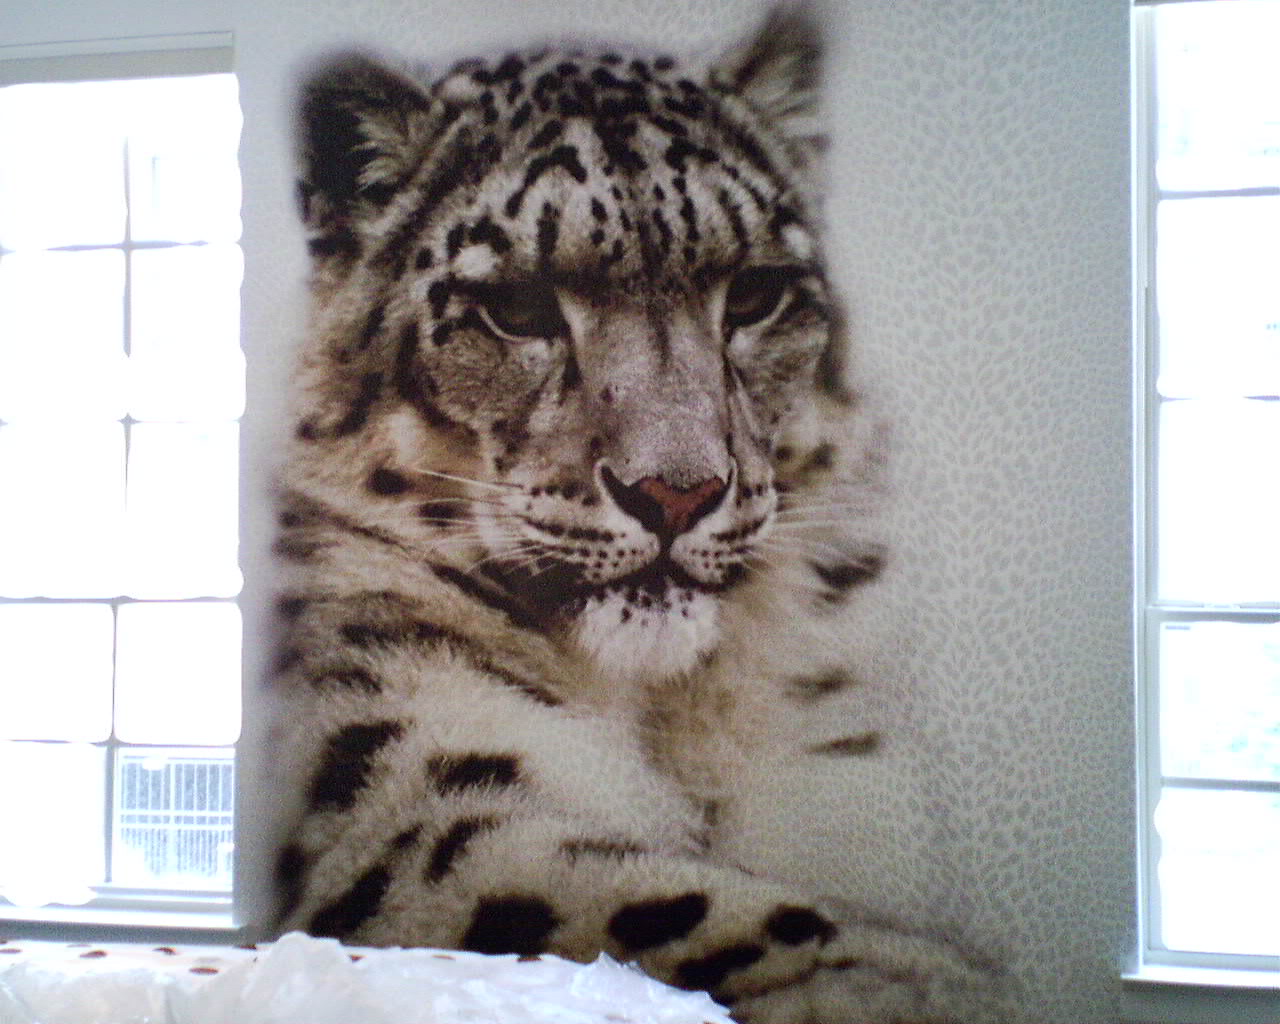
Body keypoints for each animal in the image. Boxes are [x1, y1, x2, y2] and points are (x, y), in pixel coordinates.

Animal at [259, 5, 1009, 1021]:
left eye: (758, 293)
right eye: (515, 306)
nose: (676, 489)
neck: (674, 723)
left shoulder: (842, 770)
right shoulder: (412, 800)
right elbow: (669, 906)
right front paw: (936, 984)